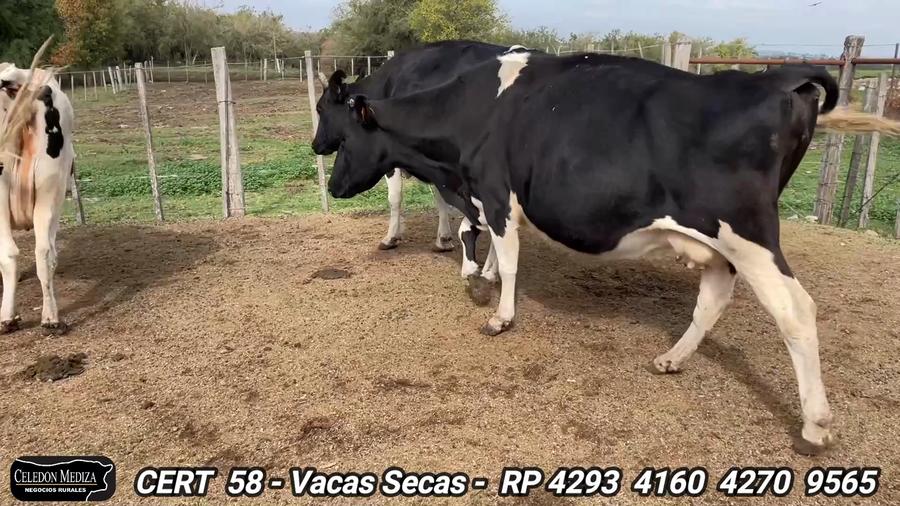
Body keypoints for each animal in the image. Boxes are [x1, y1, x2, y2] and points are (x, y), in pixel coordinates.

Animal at [321, 50, 841, 454]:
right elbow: (485, 241)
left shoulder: (495, 192)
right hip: (720, 244)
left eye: (343, 135)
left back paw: (814, 427)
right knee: (713, 299)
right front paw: (479, 278)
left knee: (795, 311)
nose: (332, 185)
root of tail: (778, 78)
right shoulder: (479, 195)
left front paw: (500, 315)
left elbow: (509, 258)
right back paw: (671, 358)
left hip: (747, 234)